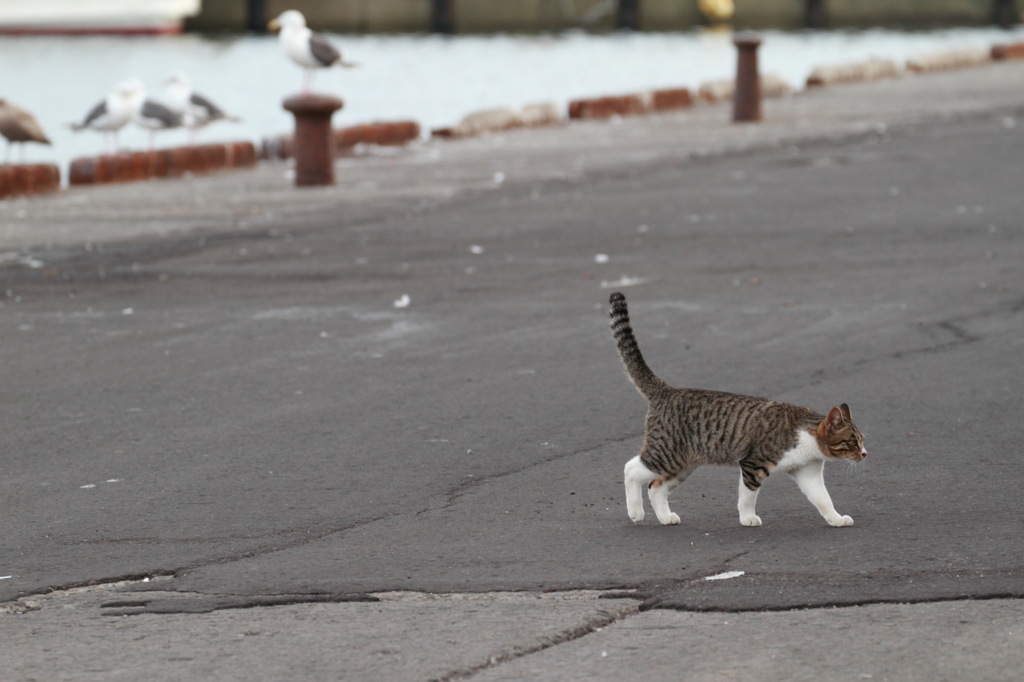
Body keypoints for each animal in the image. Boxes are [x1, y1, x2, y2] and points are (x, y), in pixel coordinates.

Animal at [610, 290, 868, 524]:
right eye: (852, 441)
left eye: (862, 440)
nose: (865, 453)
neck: (808, 439)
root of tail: (667, 391)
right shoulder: (754, 464)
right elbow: (747, 496)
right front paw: (748, 518)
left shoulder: (808, 472)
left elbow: (823, 499)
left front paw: (836, 519)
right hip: (666, 453)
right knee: (631, 469)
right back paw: (635, 512)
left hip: (683, 463)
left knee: (655, 486)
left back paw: (665, 517)